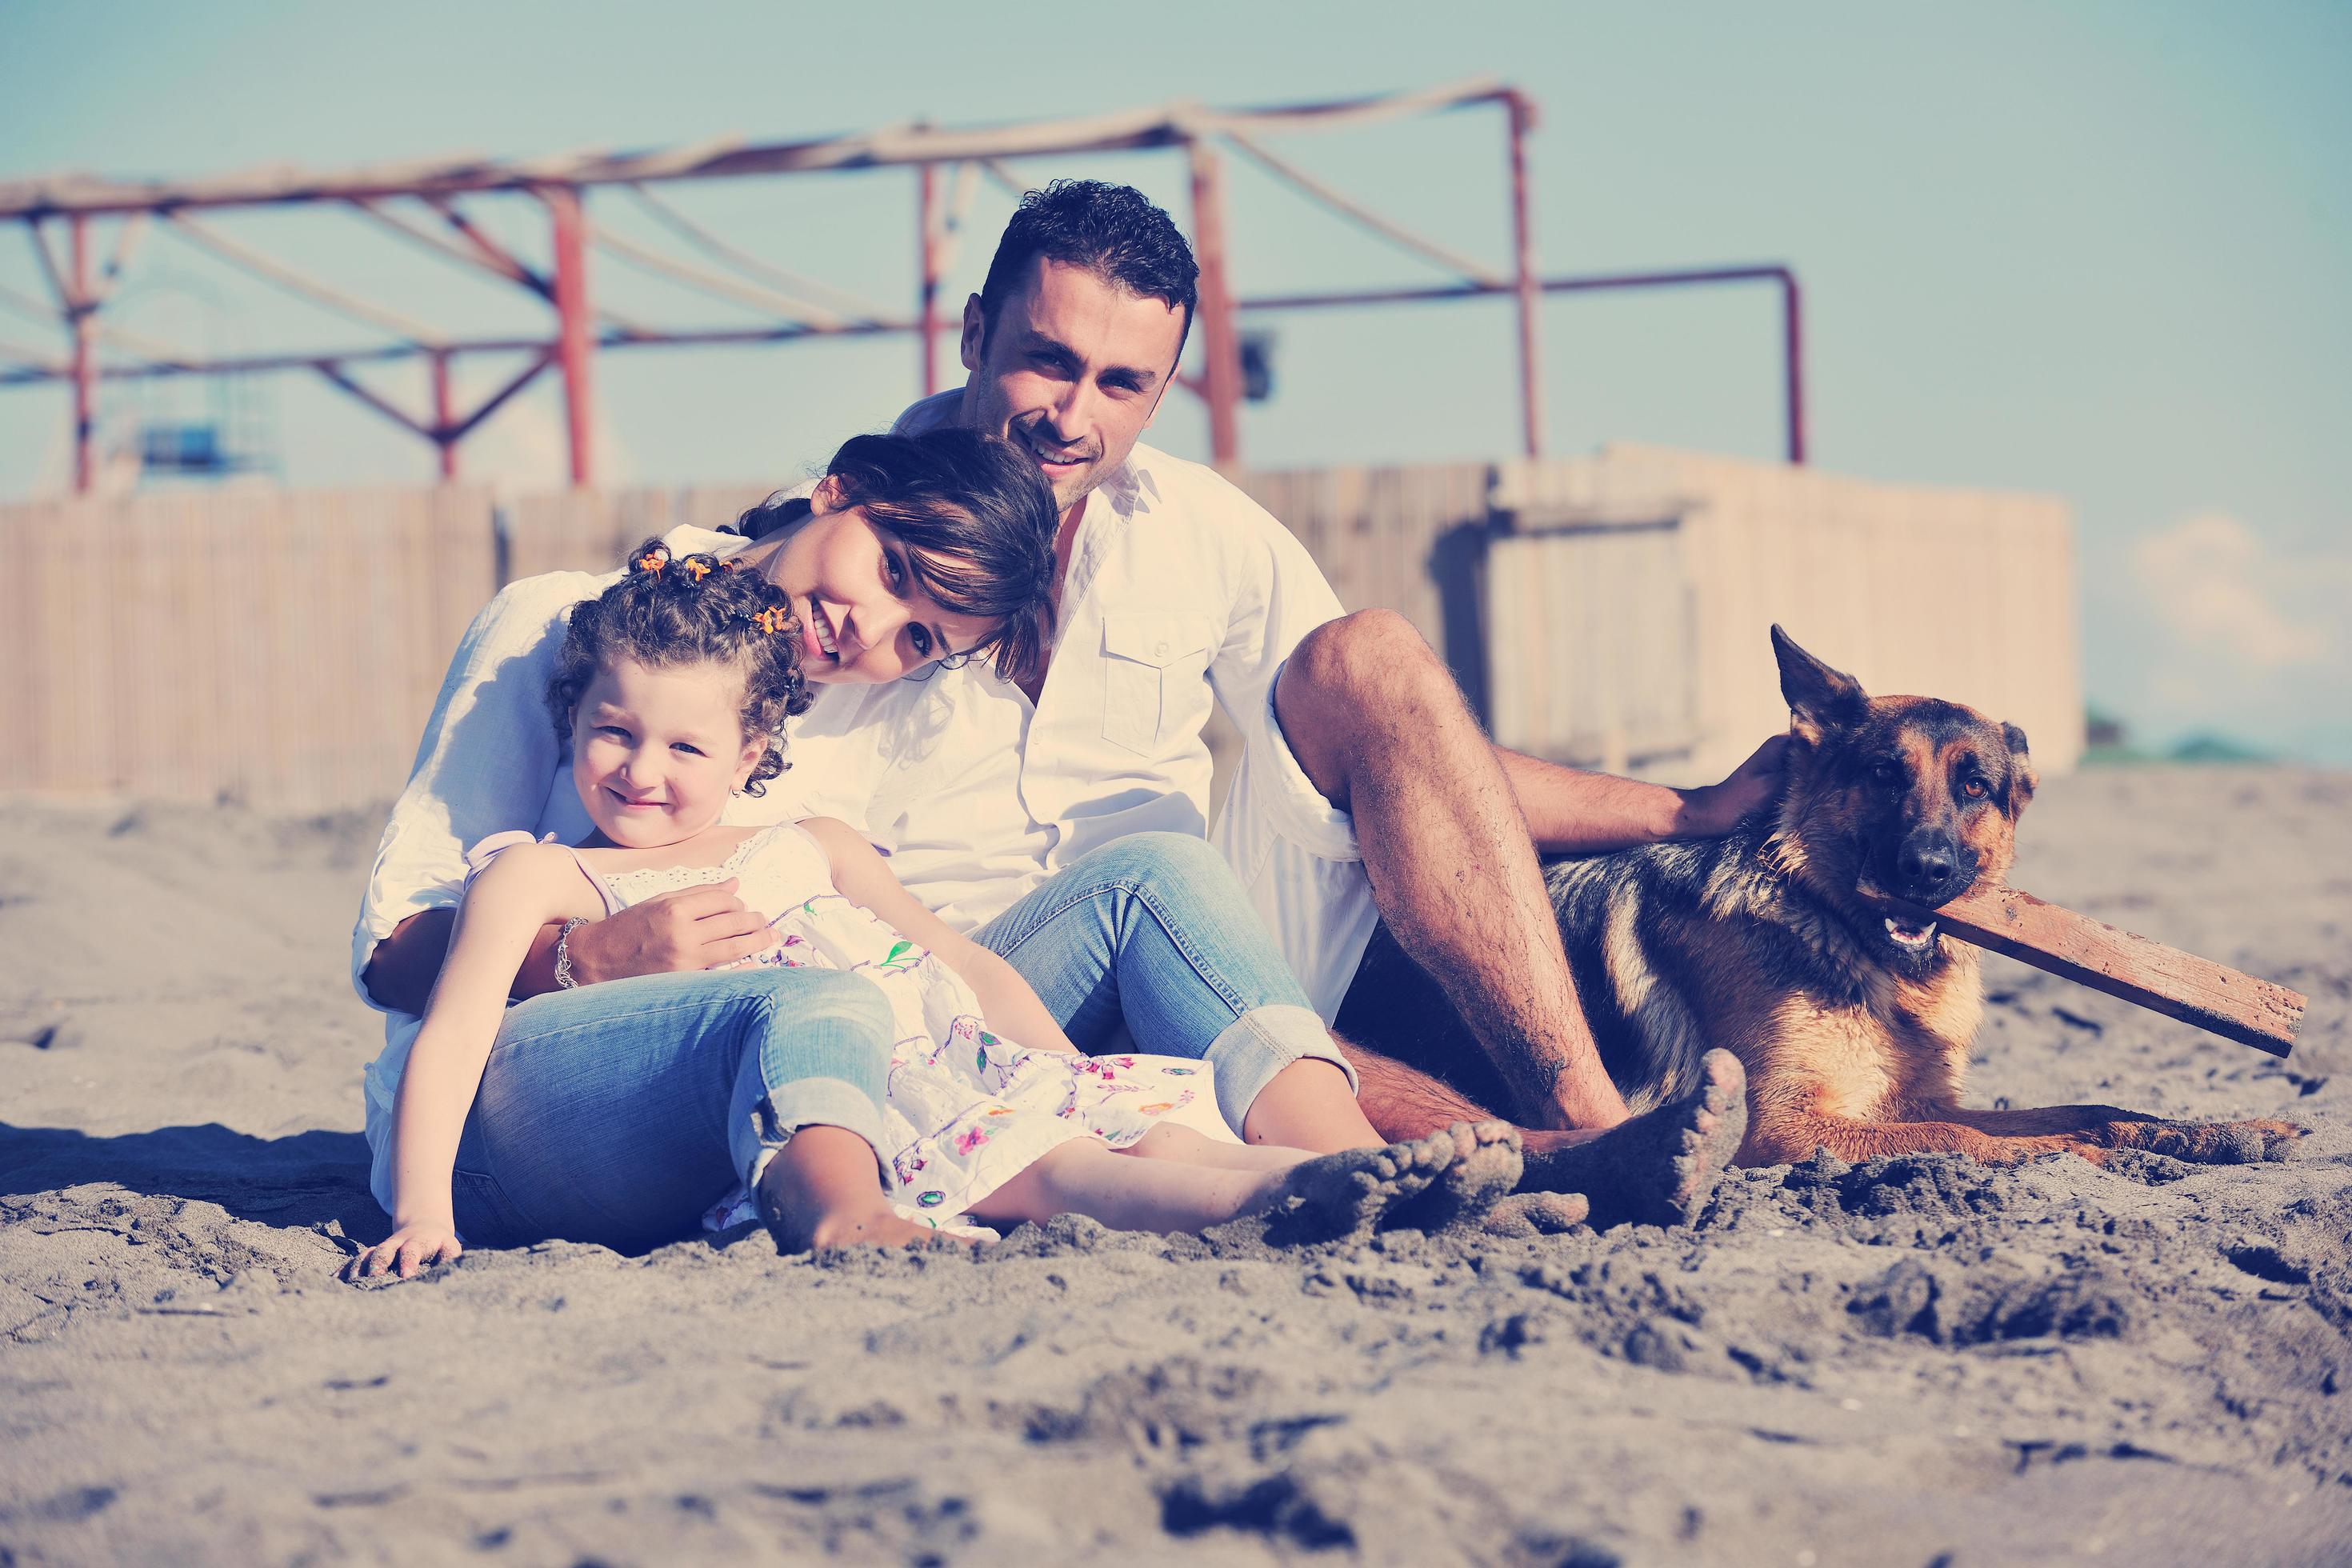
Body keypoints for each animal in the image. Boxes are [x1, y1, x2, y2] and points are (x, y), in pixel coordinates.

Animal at [1345, 630, 2295, 1170]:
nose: (1927, 869)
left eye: (1975, 786)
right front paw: (2091, 1154)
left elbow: (2093, 1106)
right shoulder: (1793, 1127)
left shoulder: (1913, 1099)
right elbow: (1994, 1139)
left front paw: (2220, 1130)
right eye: (1883, 775)